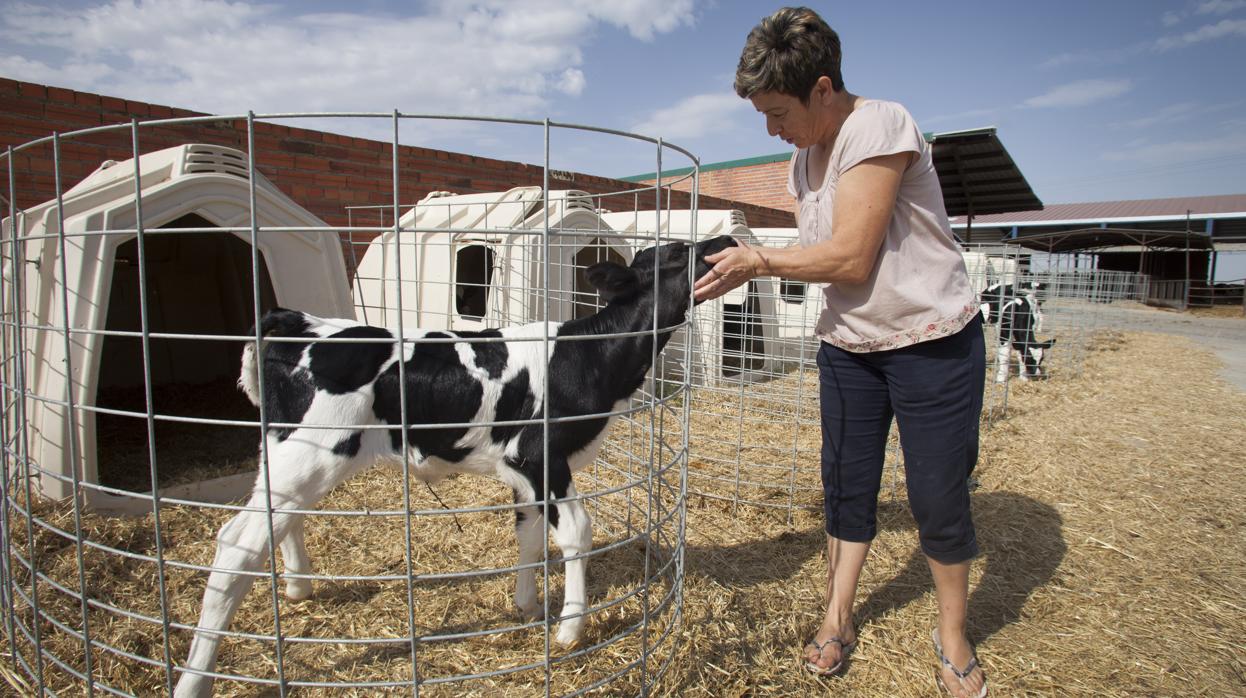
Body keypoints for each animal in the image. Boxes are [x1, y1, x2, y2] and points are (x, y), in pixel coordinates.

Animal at [176, 235, 737, 698]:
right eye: (678, 252)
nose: (727, 241)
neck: (588, 357)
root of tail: (296, 320)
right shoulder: (540, 457)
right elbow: (576, 533)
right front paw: (569, 628)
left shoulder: (521, 470)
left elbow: (528, 533)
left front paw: (527, 605)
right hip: (312, 452)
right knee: (237, 544)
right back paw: (194, 680)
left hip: (288, 454)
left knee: (278, 522)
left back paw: (297, 587)